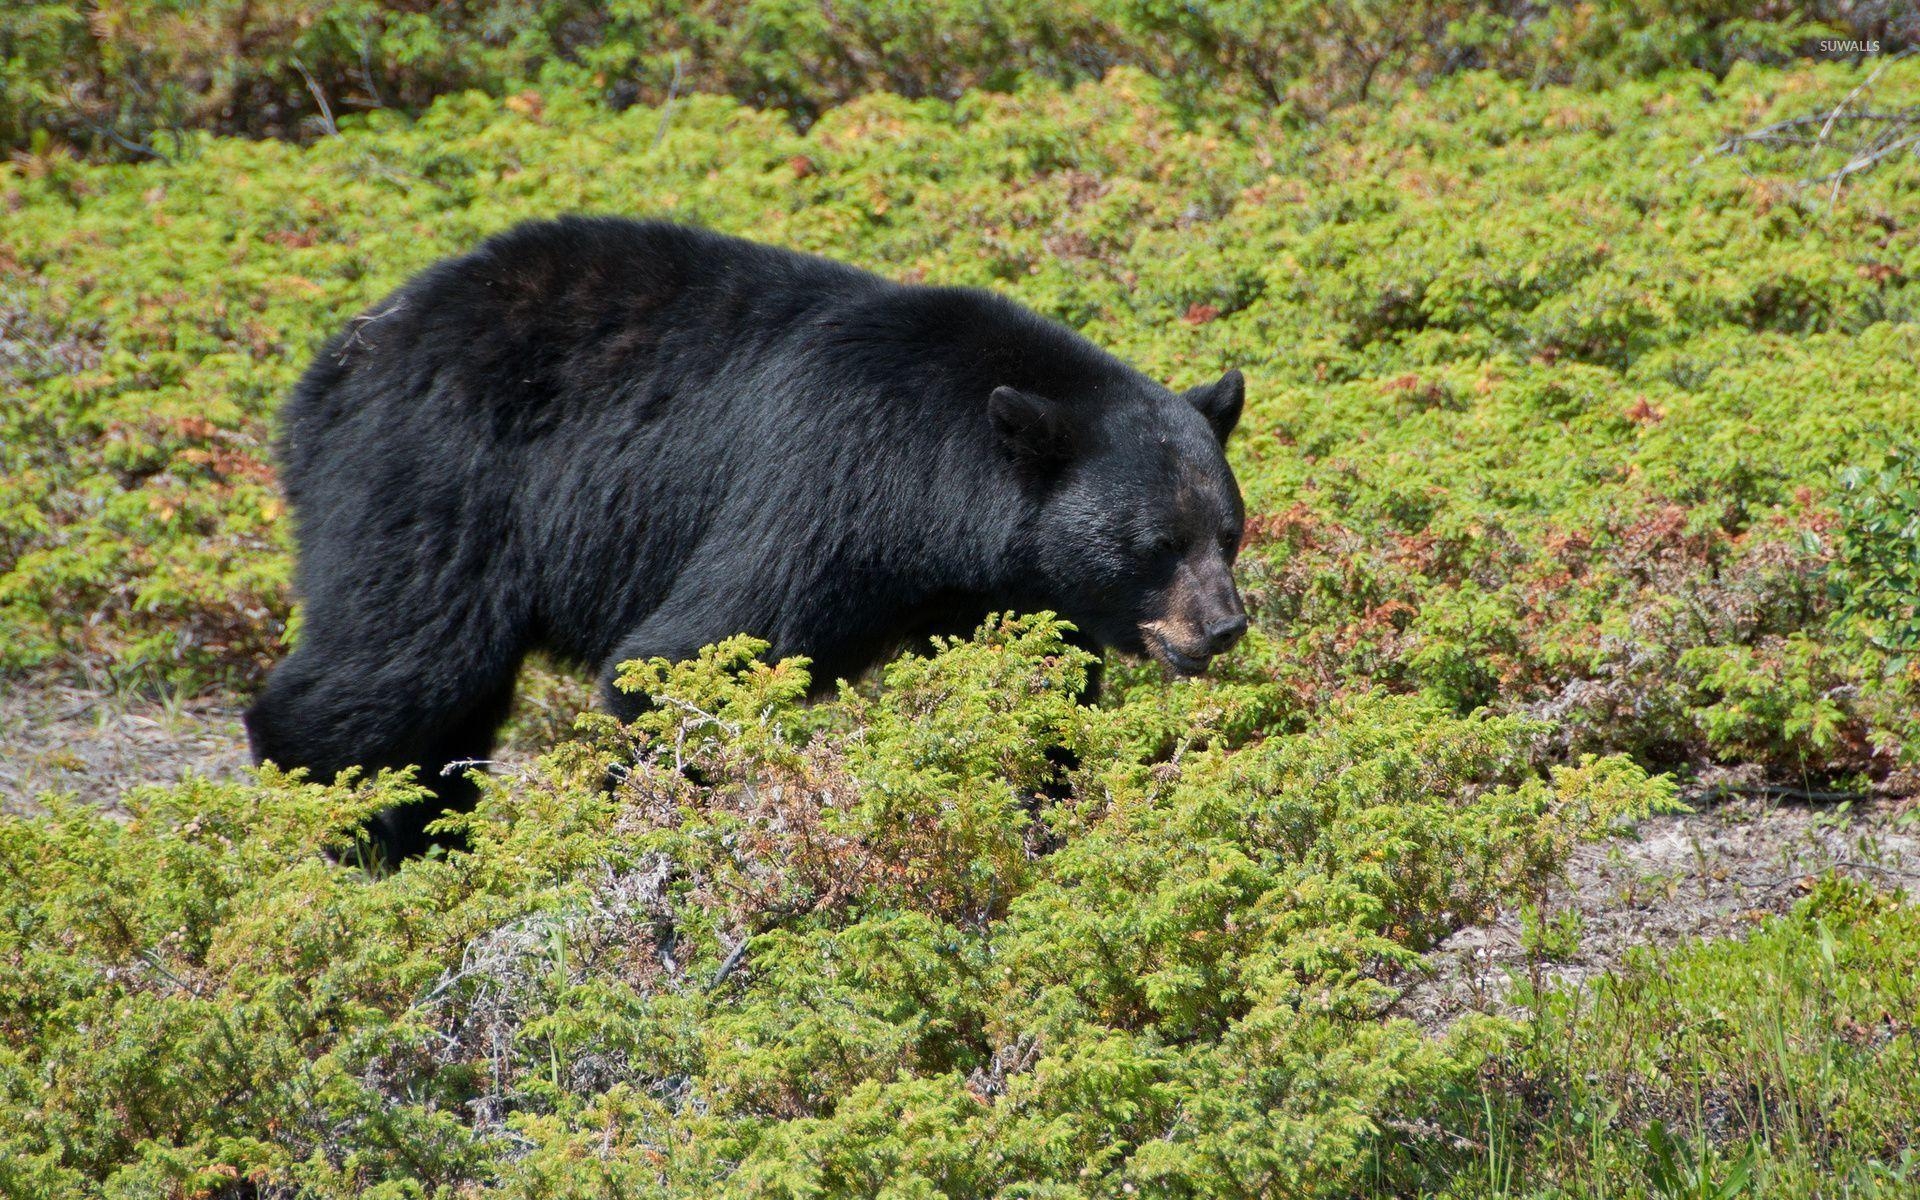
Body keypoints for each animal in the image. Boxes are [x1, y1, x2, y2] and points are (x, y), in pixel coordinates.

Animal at [247, 217, 1251, 860]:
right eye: (1157, 544)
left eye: (1228, 534)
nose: (1223, 627)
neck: (941, 498)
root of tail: (335, 365)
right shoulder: (826, 484)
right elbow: (695, 653)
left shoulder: (996, 590)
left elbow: (1028, 693)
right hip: (436, 479)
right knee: (402, 657)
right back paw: (347, 829)